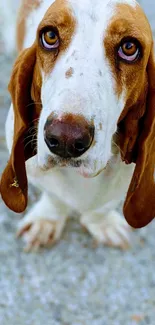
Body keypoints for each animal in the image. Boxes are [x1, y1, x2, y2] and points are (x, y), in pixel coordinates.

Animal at [0, 0, 155, 251]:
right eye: (50, 36)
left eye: (129, 47)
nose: (66, 139)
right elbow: (54, 197)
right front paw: (46, 221)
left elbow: (102, 206)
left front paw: (103, 224)